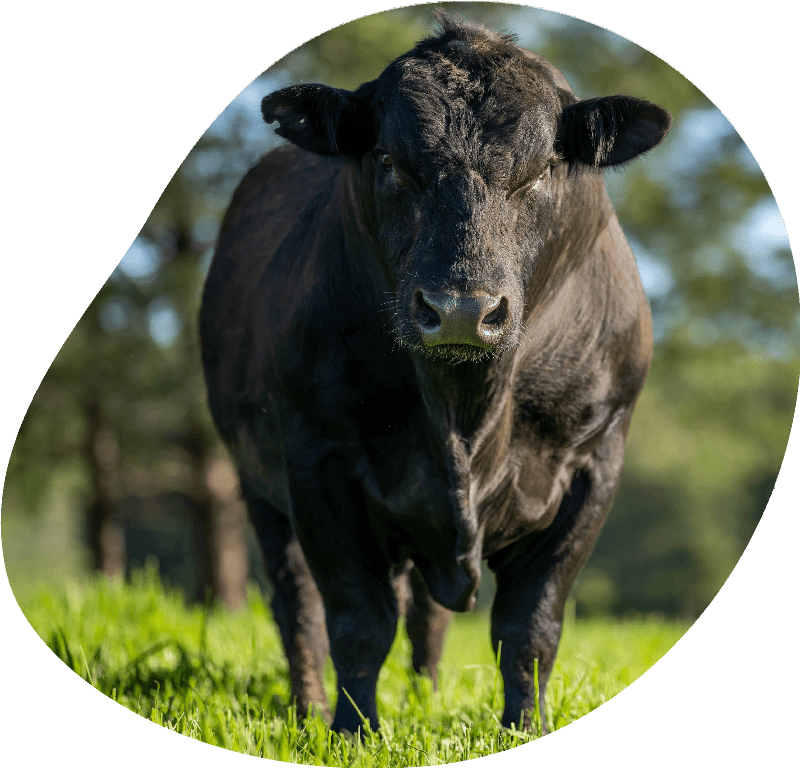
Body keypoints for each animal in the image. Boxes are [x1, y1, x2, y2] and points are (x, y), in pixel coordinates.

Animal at [198, 16, 668, 732]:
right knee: (297, 606)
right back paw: (309, 708)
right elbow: (355, 621)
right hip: (258, 487)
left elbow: (530, 627)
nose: (462, 311)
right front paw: (352, 732)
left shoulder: (594, 461)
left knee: (424, 614)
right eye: (391, 161)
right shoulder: (318, 460)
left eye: (543, 168)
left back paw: (424, 695)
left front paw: (524, 728)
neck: (466, 416)